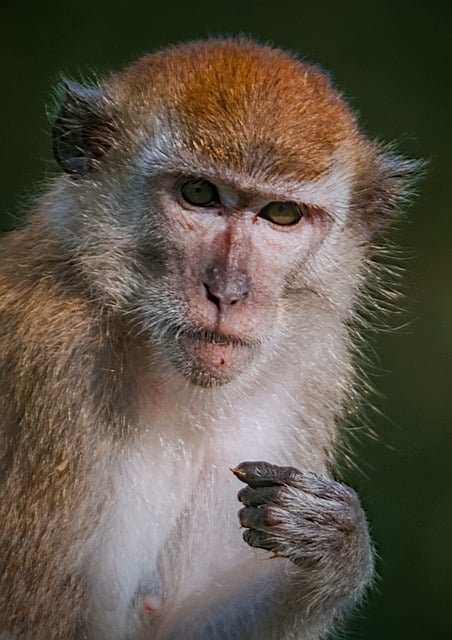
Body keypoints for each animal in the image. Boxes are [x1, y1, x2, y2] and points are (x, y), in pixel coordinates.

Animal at [0, 38, 420, 640]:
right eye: (198, 193)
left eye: (282, 213)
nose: (228, 292)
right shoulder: (54, 368)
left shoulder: (307, 379)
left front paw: (335, 545)